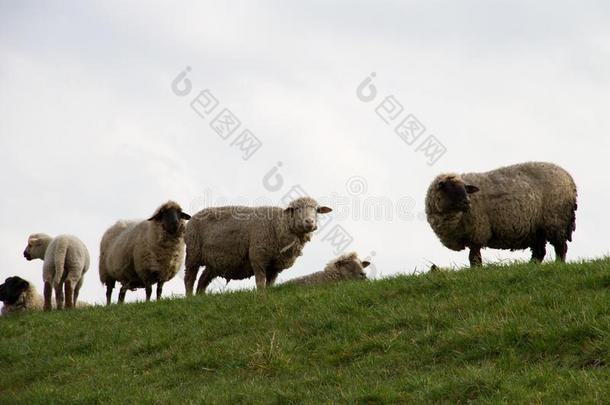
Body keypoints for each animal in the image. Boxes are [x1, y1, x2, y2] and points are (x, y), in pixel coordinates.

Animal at [184, 196, 332, 294]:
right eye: (296, 209)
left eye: (317, 210)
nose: (310, 222)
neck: (278, 225)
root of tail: (192, 217)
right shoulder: (258, 257)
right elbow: (260, 281)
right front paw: (261, 296)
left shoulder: (275, 266)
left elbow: (270, 283)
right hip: (193, 253)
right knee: (189, 278)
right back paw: (189, 298)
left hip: (214, 263)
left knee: (202, 280)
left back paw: (200, 298)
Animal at [422, 161, 576, 266]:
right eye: (450, 188)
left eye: (465, 189)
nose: (467, 202)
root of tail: (569, 178)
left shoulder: (477, 232)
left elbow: (474, 258)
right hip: (537, 228)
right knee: (539, 252)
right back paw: (530, 266)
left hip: (555, 220)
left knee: (560, 247)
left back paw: (558, 265)